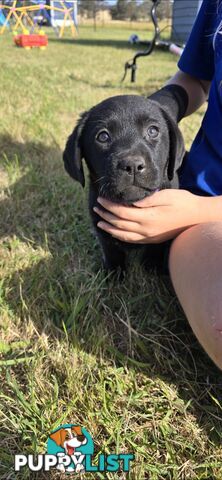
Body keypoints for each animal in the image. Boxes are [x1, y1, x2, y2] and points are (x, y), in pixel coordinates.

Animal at [63, 93, 186, 274]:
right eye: (103, 136)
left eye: (153, 131)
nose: (132, 165)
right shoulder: (101, 225)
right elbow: (112, 253)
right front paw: (113, 275)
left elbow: (155, 247)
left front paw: (151, 269)